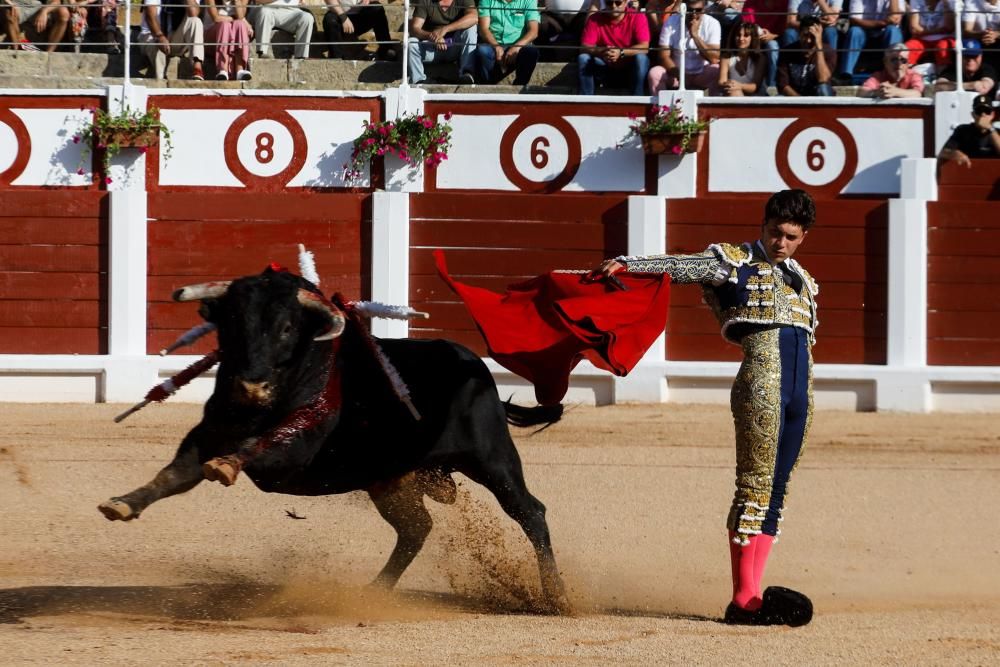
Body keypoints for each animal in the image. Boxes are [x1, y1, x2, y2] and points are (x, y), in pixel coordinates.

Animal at [101, 268, 572, 612]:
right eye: (232, 324)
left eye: (287, 328)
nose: (251, 387)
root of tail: (473, 363)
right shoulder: (207, 434)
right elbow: (173, 475)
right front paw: (122, 503)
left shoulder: (291, 454)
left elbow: (257, 447)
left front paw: (225, 465)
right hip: (390, 480)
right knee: (416, 528)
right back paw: (375, 591)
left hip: (493, 460)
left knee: (530, 512)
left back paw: (557, 599)